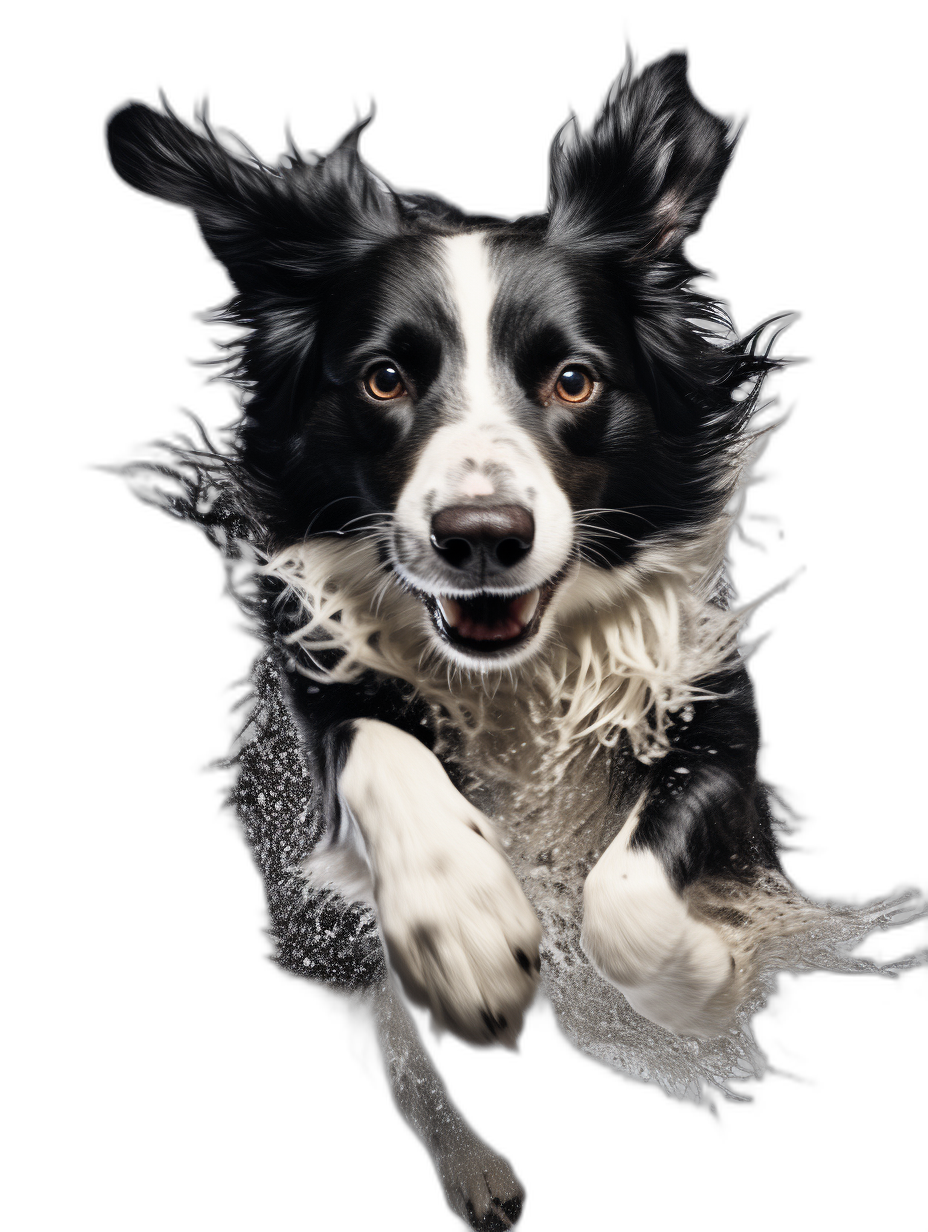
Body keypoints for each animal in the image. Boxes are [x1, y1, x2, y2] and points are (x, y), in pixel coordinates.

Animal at [104, 50, 921, 1232]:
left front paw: (699, 982)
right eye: (384, 377)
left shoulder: (717, 724)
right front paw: (465, 928)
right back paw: (470, 1156)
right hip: (312, 906)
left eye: (573, 379)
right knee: (385, 1019)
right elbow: (382, 752)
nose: (480, 534)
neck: (514, 677)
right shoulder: (317, 703)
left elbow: (626, 895)